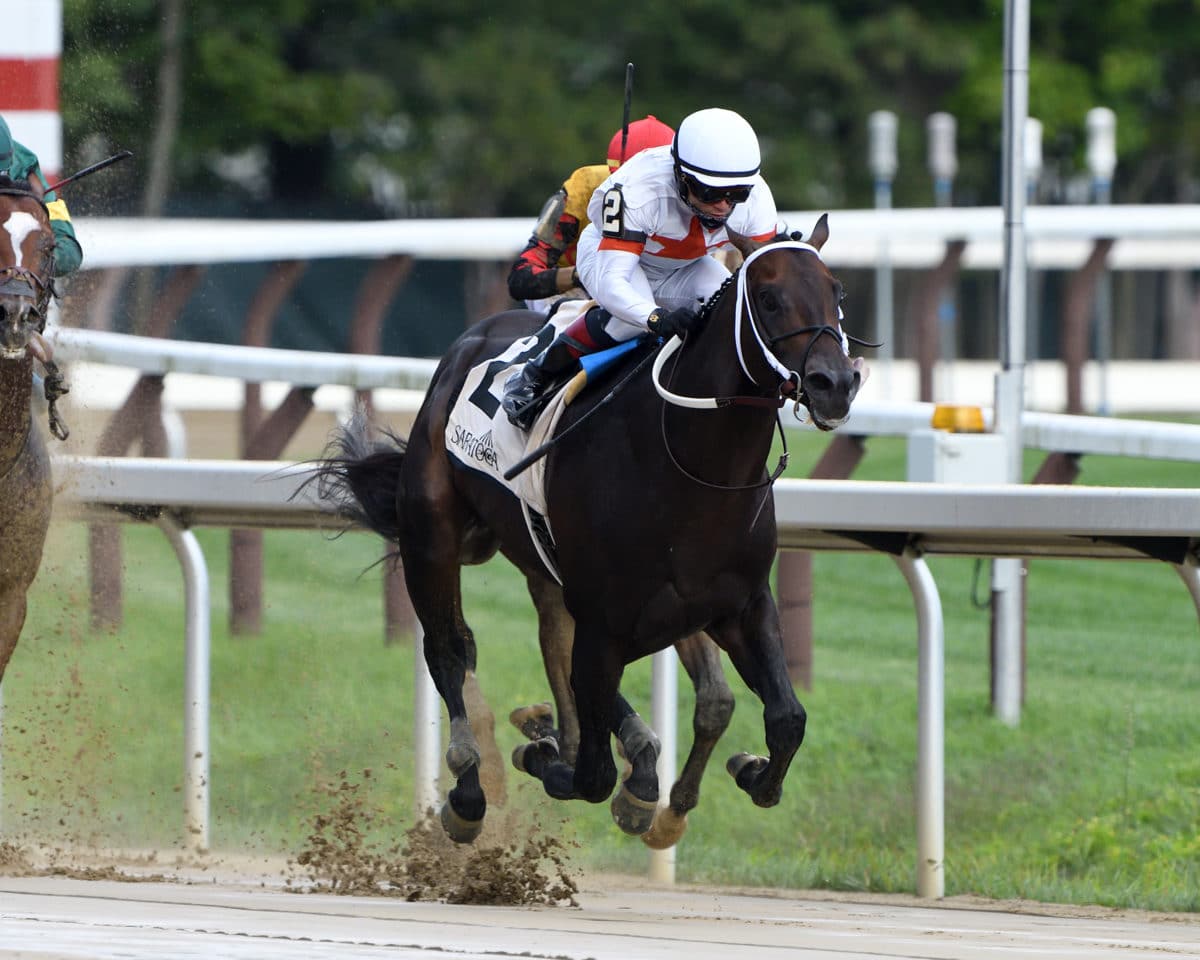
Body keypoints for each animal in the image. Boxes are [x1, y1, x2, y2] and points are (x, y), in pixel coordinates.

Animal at [314, 217, 868, 840]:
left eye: (837, 293)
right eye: (769, 299)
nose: (835, 383)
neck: (695, 467)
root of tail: (469, 341)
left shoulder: (737, 605)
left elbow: (784, 716)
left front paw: (747, 772)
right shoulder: (606, 620)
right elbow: (592, 772)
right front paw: (550, 753)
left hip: (544, 565)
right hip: (432, 539)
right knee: (451, 649)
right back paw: (470, 791)